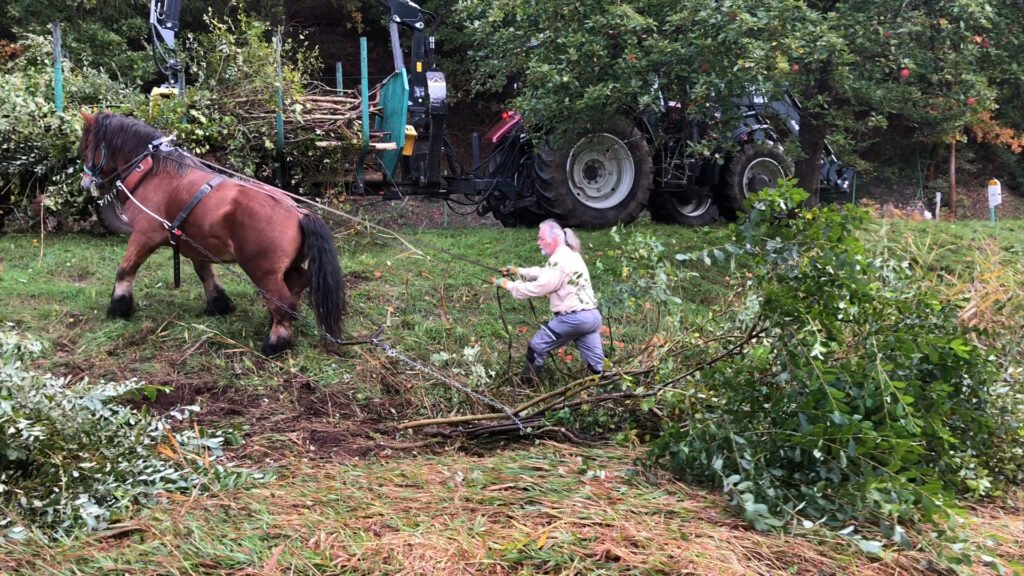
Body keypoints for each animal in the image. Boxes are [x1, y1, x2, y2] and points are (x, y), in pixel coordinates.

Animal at [79, 111, 344, 354]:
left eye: (87, 147)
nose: (84, 183)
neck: (153, 173)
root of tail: (298, 211)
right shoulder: (195, 242)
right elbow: (205, 273)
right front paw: (218, 304)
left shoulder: (145, 237)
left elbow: (125, 269)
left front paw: (119, 307)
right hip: (287, 268)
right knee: (298, 284)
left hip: (263, 272)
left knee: (284, 301)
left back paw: (275, 343)